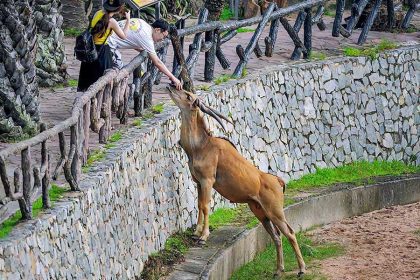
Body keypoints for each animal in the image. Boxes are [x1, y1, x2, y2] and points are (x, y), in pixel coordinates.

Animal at [167, 88, 306, 278]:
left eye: (188, 95)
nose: (172, 86)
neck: (199, 147)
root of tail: (279, 181)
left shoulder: (208, 180)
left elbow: (205, 206)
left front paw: (203, 237)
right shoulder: (198, 182)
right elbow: (199, 205)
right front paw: (196, 233)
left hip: (275, 211)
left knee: (290, 233)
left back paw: (301, 269)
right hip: (260, 212)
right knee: (277, 237)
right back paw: (278, 270)